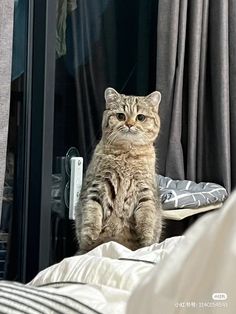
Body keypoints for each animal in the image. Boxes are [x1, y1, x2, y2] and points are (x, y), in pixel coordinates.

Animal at [75, 87, 162, 253]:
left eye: (140, 117)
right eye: (121, 116)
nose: (129, 124)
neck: (126, 156)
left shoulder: (145, 190)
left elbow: (147, 217)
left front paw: (146, 240)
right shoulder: (97, 186)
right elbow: (92, 213)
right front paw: (90, 236)